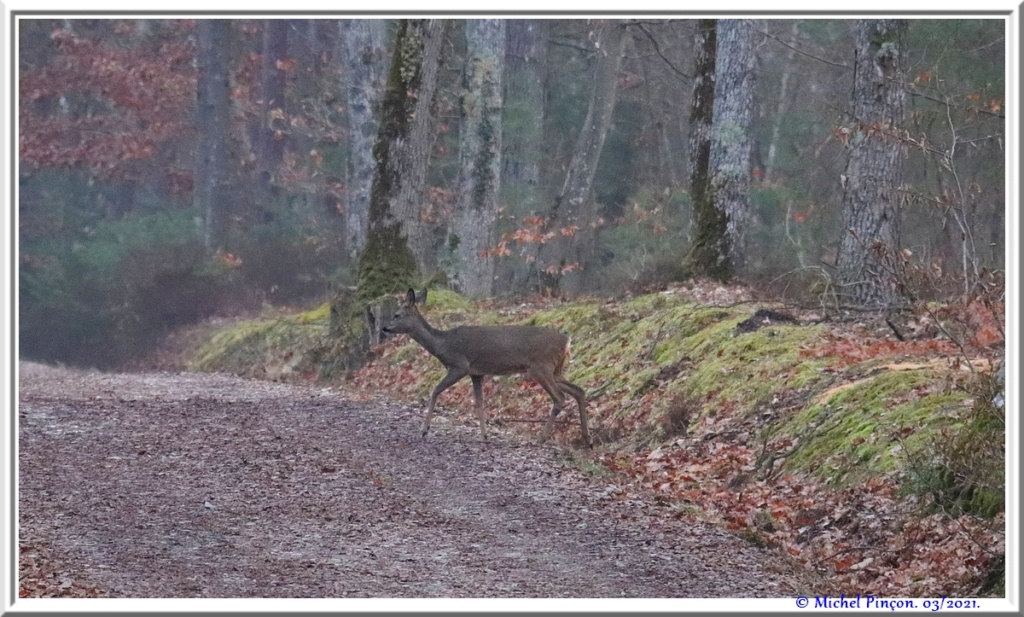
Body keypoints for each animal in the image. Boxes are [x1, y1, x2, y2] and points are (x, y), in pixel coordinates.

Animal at [382, 290, 593, 448]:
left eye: (397, 315)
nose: (385, 328)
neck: (443, 344)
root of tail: (566, 341)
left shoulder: (460, 366)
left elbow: (435, 391)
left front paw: (424, 430)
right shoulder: (477, 373)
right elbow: (479, 402)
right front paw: (484, 436)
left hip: (540, 367)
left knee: (559, 398)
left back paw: (541, 438)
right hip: (555, 370)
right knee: (579, 390)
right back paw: (587, 439)